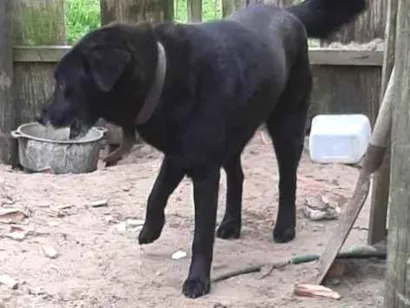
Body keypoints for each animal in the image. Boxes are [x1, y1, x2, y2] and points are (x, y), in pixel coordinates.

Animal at [38, 0, 366, 298]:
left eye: (63, 84)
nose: (41, 116)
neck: (163, 74)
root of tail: (287, 13)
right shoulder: (180, 155)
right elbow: (155, 193)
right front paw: (151, 229)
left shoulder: (203, 171)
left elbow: (200, 235)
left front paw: (197, 280)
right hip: (235, 134)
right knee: (237, 176)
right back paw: (231, 224)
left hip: (287, 125)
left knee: (287, 179)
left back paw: (284, 228)